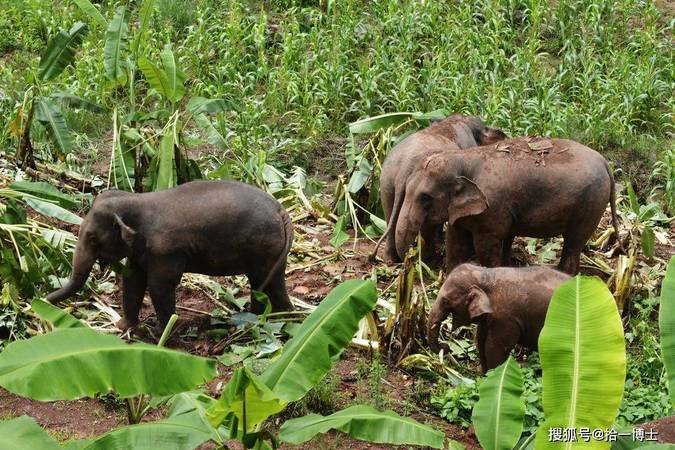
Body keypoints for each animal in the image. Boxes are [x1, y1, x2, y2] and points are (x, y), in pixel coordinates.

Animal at [45, 179, 294, 330]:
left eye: (93, 238)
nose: (42, 300)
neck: (136, 199)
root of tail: (281, 210)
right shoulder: (140, 249)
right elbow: (132, 282)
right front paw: (124, 328)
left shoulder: (166, 250)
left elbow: (159, 286)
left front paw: (161, 333)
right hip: (273, 249)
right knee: (269, 282)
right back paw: (275, 318)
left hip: (264, 245)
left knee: (265, 282)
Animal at [370, 113, 508, 268]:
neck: (455, 120)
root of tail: (405, 166)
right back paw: (431, 260)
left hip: (386, 183)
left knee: (390, 215)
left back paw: (391, 261)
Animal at [396, 136, 624, 274]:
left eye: (426, 198)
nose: (409, 260)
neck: (464, 157)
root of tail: (605, 163)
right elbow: (456, 242)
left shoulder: (492, 209)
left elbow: (485, 248)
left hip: (590, 204)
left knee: (573, 243)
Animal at [428, 262, 572, 370]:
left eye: (445, 301)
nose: (446, 347)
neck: (485, 274)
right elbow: (480, 341)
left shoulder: (505, 318)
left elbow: (494, 349)